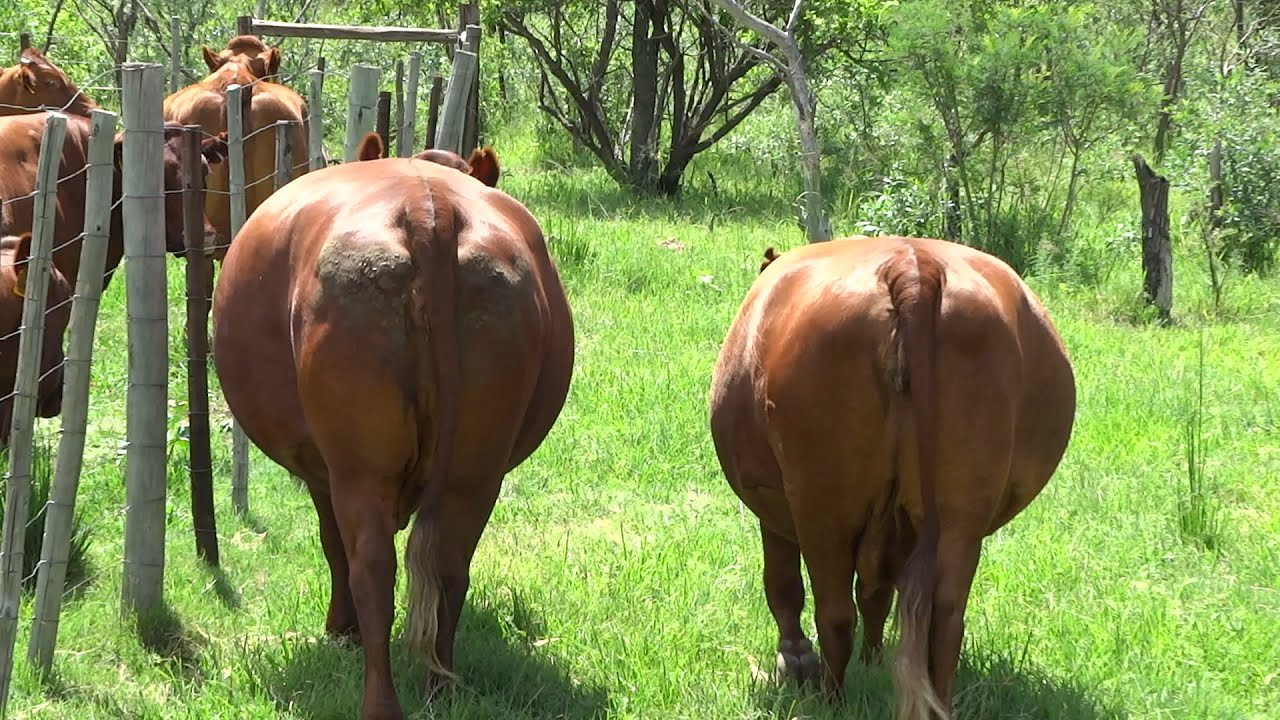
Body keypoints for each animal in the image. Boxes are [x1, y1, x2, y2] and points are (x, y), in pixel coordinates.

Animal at [212, 148, 574, 720]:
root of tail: (428, 208)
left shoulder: (324, 473)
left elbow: (332, 544)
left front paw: (341, 631)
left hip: (361, 467)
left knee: (372, 570)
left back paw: (380, 701)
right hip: (475, 470)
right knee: (449, 565)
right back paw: (440, 688)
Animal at [708, 236, 1076, 719]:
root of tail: (913, 266)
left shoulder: (769, 500)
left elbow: (784, 584)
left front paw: (795, 658)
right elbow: (877, 593)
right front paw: (874, 659)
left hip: (823, 504)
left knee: (835, 613)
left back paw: (831, 700)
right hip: (961, 513)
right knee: (945, 618)